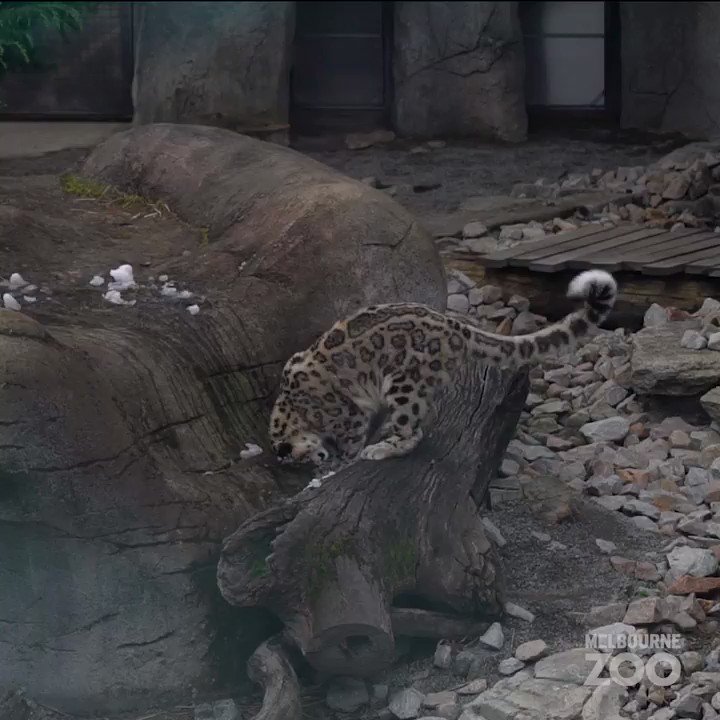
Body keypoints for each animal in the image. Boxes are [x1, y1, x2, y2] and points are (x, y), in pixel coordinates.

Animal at [269, 269, 617, 469]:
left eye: (298, 457)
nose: (316, 459)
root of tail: (451, 324)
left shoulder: (347, 416)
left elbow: (351, 440)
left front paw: (343, 462)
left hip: (403, 383)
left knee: (412, 430)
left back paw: (384, 448)